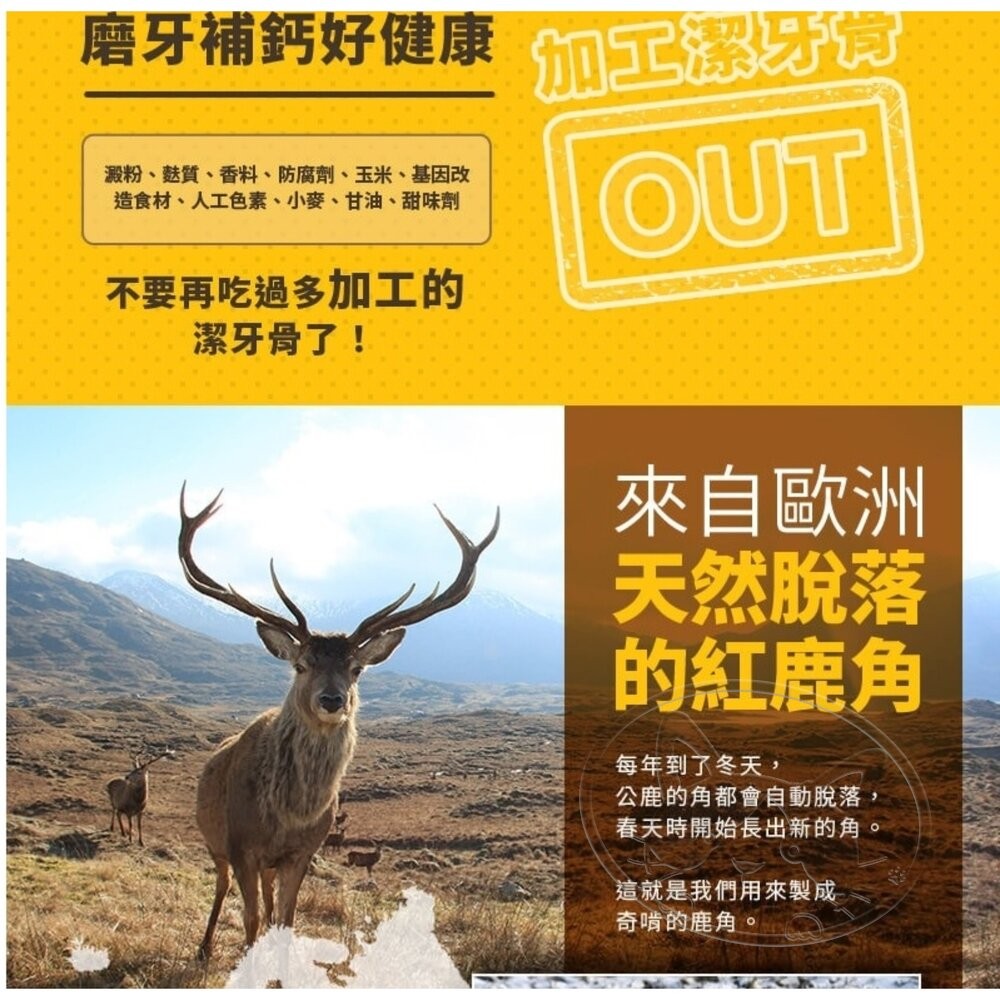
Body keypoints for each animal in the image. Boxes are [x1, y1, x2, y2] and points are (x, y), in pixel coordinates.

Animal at [179, 484, 498, 959]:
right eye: (301, 665)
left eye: (356, 669)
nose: (332, 700)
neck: (287, 815)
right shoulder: (241, 845)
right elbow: (250, 920)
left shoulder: (302, 853)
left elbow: (286, 920)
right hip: (213, 840)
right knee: (221, 886)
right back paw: (204, 946)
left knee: (269, 899)